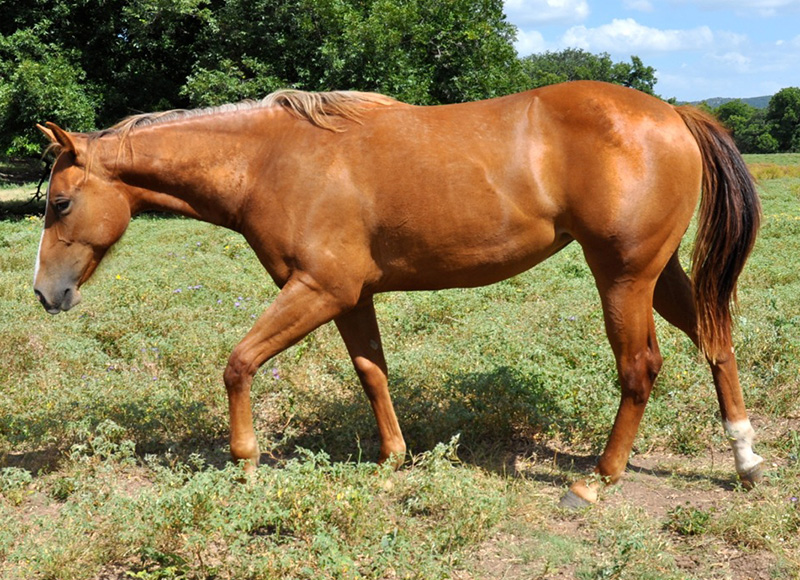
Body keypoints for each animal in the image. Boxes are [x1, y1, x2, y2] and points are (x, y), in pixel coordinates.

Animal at [34, 79, 764, 506]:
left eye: (61, 203)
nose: (45, 294)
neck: (270, 161)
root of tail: (672, 113)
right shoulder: (350, 296)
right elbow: (372, 374)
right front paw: (391, 458)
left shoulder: (319, 289)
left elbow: (238, 364)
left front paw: (245, 464)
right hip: (658, 274)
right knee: (717, 341)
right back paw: (746, 456)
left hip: (621, 275)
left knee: (640, 367)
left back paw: (597, 480)